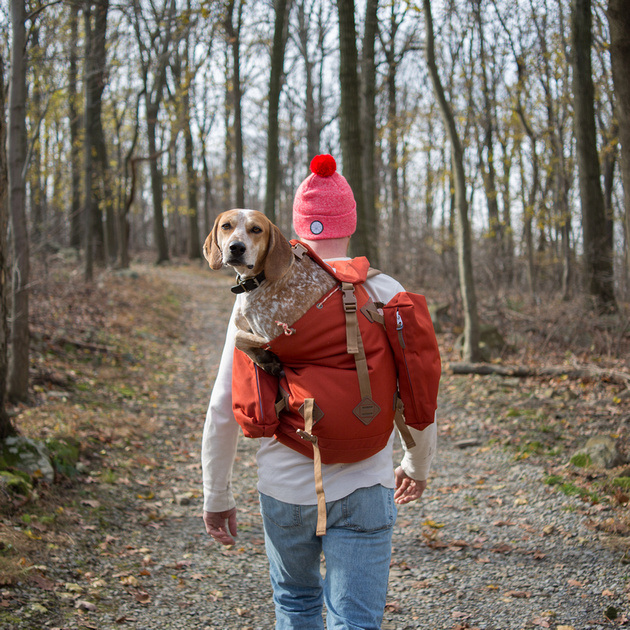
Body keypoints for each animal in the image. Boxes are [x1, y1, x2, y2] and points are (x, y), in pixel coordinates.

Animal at [205, 211, 338, 376]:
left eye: (256, 229)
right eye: (226, 226)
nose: (236, 247)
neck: (259, 280)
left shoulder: (277, 338)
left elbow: (239, 337)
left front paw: (265, 359)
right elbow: (240, 336)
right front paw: (264, 359)